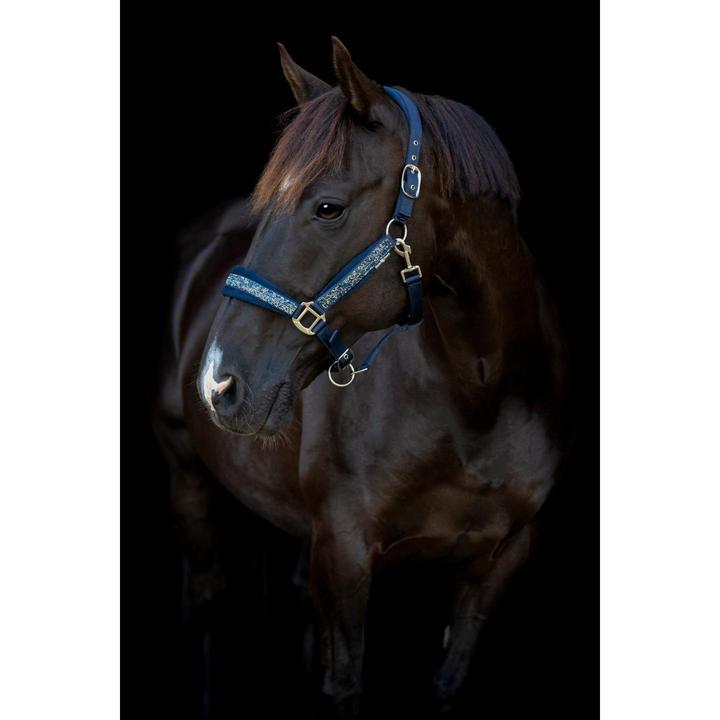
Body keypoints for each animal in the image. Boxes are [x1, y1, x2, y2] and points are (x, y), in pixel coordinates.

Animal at [153, 36, 572, 717]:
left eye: (328, 207)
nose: (219, 384)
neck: (477, 394)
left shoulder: (499, 560)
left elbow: (447, 679)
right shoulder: (344, 552)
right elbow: (343, 682)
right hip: (188, 477)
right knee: (210, 604)